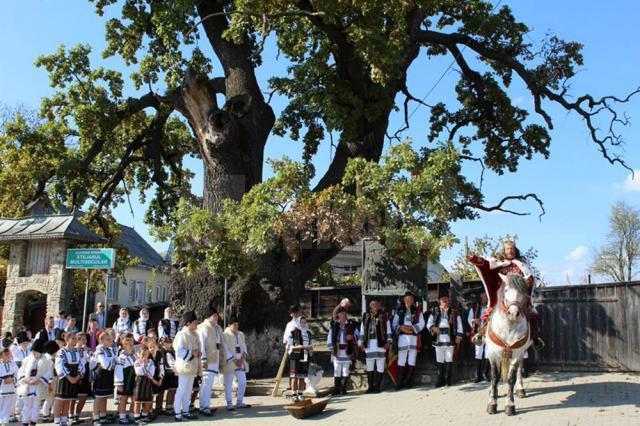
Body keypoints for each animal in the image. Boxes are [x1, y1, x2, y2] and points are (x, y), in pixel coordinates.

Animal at [488, 272, 532, 416]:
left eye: (523, 291)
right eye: (506, 290)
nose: (513, 313)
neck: (509, 326)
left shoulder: (517, 354)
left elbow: (510, 379)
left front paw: (510, 405)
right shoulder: (493, 354)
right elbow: (494, 377)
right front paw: (492, 403)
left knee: (519, 370)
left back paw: (520, 389)